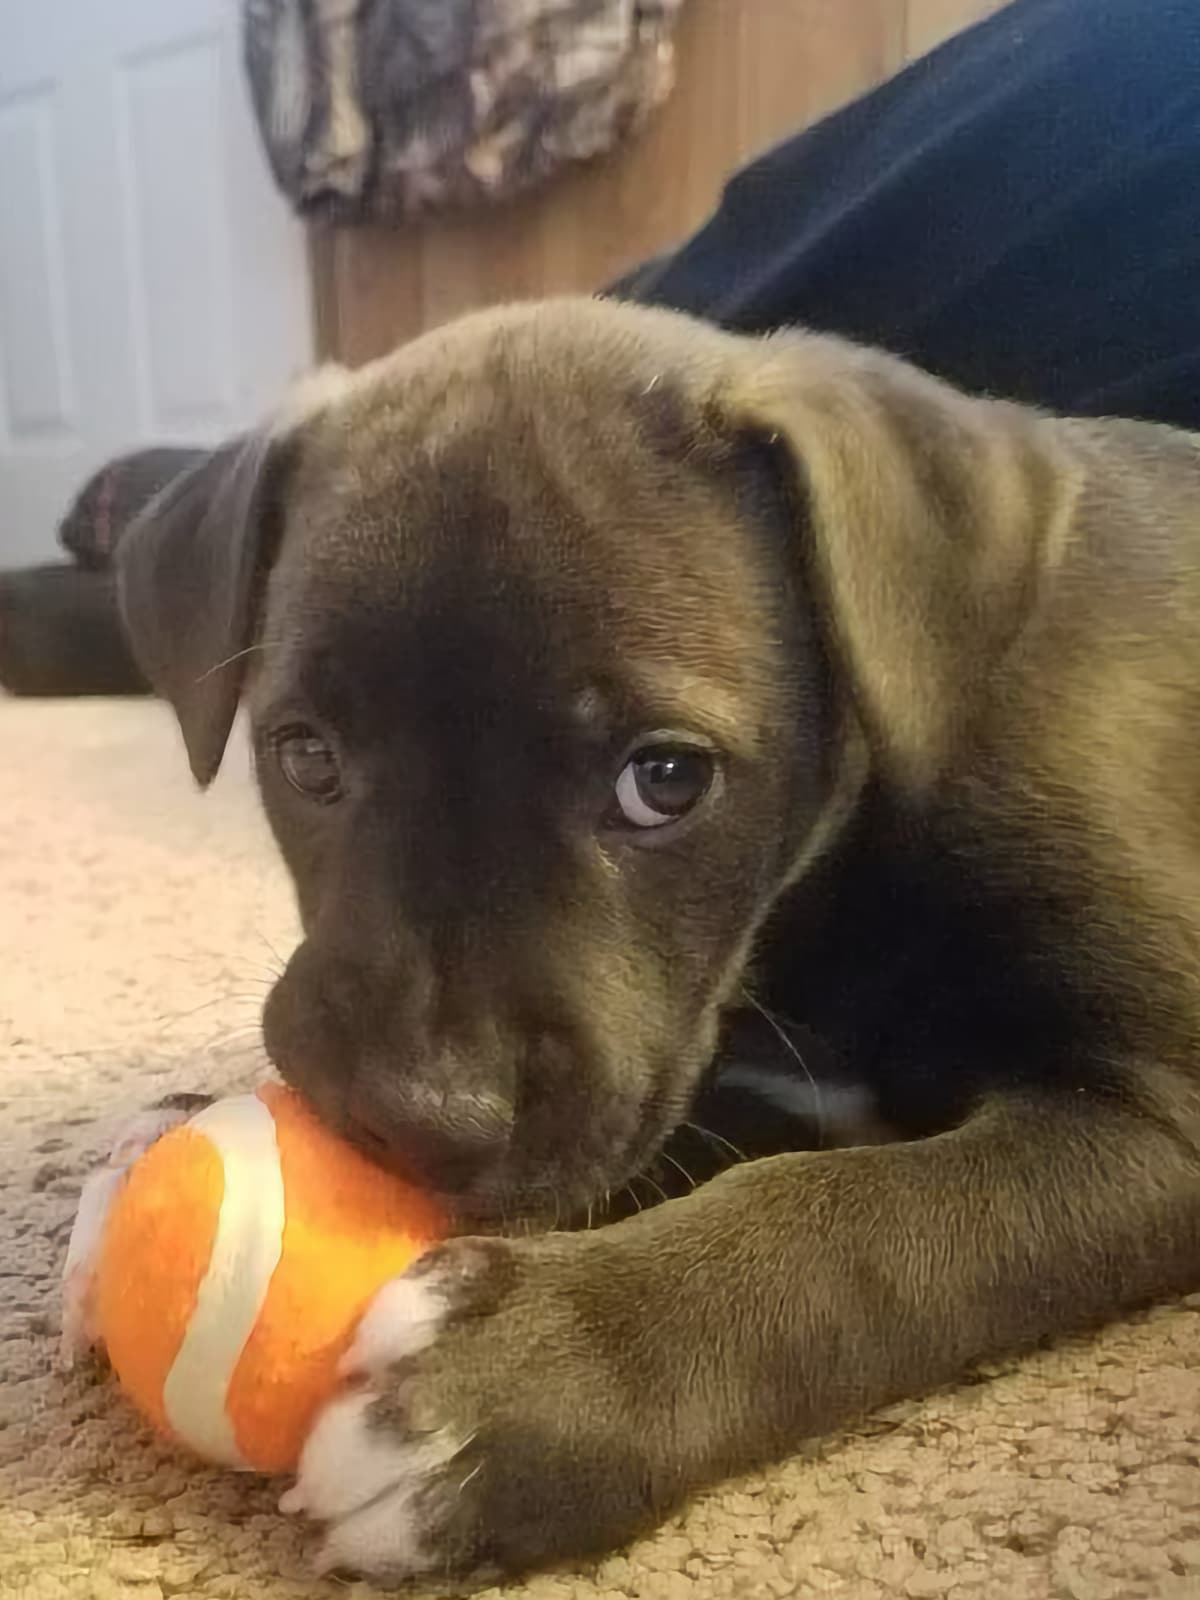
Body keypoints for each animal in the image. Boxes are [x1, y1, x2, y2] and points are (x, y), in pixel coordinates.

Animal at [113, 297, 1200, 1585]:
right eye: (307, 754)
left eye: (665, 779)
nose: (417, 1118)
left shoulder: (1162, 1106)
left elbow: (873, 1222)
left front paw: (534, 1374)